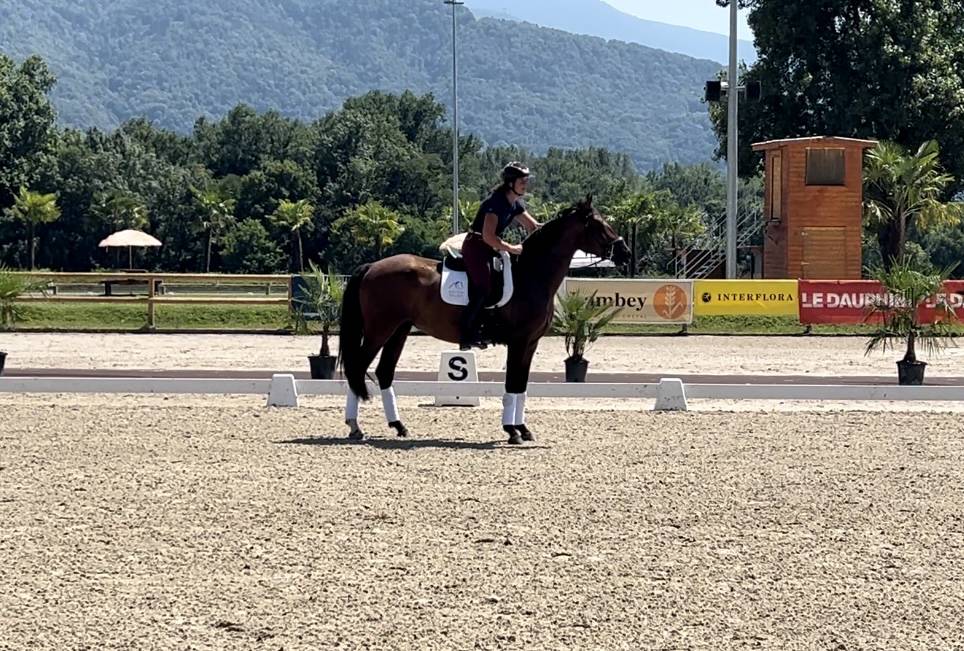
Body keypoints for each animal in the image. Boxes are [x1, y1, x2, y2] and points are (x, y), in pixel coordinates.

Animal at [337, 195, 631, 444]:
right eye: (598, 224)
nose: (625, 253)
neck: (532, 275)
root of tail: (372, 267)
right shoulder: (519, 342)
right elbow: (512, 383)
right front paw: (512, 431)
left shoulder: (530, 343)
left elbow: (521, 385)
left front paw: (523, 429)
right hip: (380, 329)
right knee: (357, 367)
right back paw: (355, 426)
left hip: (399, 330)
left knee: (383, 372)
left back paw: (398, 426)